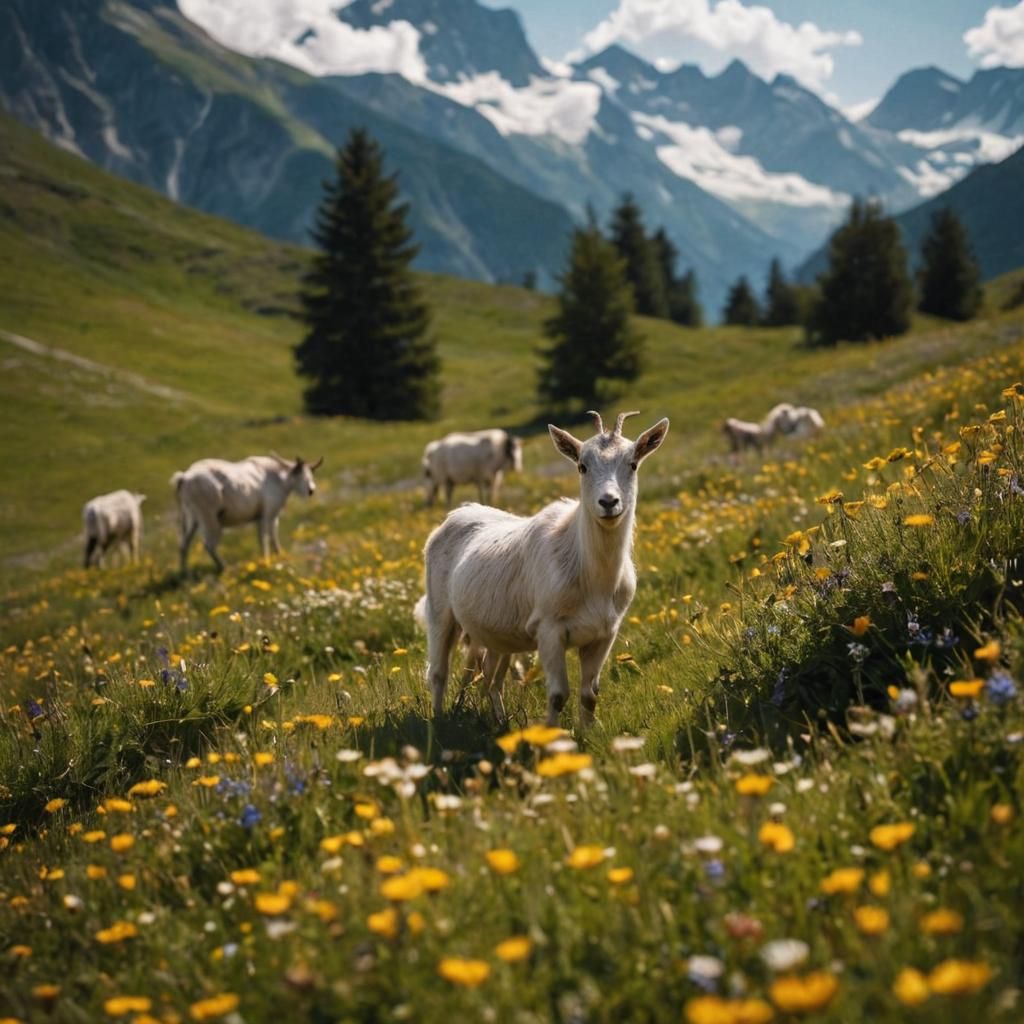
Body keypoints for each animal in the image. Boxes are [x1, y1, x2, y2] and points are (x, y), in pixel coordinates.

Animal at [172, 454, 321, 572]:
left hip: (190, 518)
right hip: (209, 517)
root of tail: (183, 478)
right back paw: (224, 567)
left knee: (184, 545)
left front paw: (275, 558)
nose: (311, 490)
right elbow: (267, 538)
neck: (280, 480)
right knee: (209, 545)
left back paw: (185, 575)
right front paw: (269, 561)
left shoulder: (262, 517)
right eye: (301, 475)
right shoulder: (268, 514)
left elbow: (267, 538)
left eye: (311, 474)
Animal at [421, 410, 668, 727]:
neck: (591, 574)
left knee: (491, 676)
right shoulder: (549, 629)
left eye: (633, 464)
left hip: (497, 631)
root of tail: (456, 513)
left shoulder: (604, 633)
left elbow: (589, 694)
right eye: (582, 466)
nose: (608, 502)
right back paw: (439, 722)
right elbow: (558, 694)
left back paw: (499, 721)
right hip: (440, 610)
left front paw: (588, 734)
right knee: (438, 672)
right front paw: (551, 735)